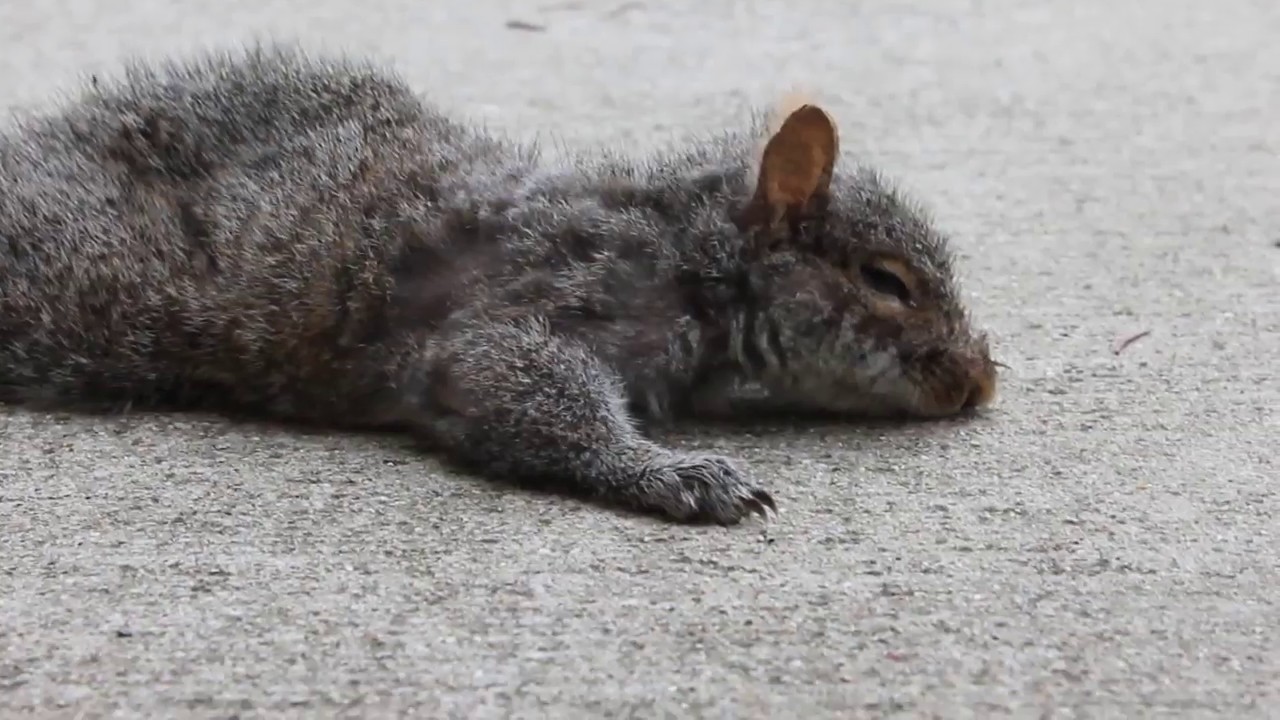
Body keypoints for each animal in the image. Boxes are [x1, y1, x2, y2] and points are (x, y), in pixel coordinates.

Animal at [0, 44, 998, 525]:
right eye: (888, 281)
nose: (978, 379)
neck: (686, 252)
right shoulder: (538, 290)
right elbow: (512, 380)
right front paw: (673, 474)